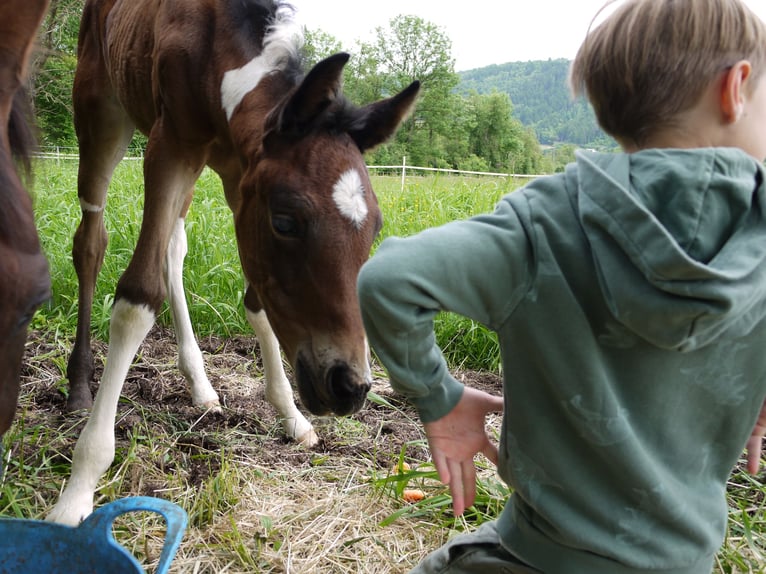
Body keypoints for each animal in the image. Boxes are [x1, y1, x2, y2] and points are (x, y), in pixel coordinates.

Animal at [47, 0, 419, 525]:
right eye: (285, 221)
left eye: (376, 228)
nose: (350, 385)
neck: (216, 42)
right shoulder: (170, 146)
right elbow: (137, 299)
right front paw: (79, 487)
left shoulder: (240, 172)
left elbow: (257, 301)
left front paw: (291, 415)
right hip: (99, 113)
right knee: (90, 242)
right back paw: (79, 387)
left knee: (173, 250)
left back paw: (201, 386)